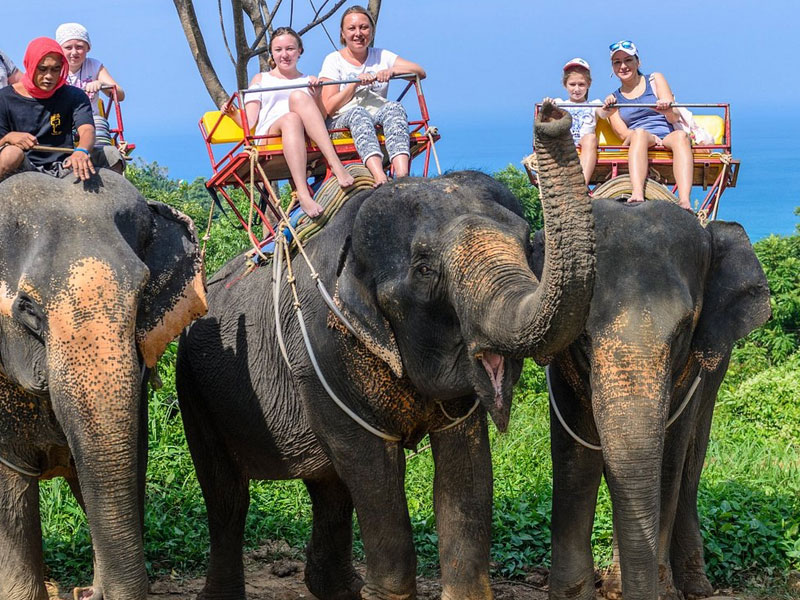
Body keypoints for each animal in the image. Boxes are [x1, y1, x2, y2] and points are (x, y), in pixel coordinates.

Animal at [177, 103, 592, 600]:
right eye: (425, 269)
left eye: (529, 243)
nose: (551, 112)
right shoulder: (322, 351)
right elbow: (371, 467)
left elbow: (465, 470)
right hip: (193, 385)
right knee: (227, 494)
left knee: (328, 487)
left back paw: (335, 590)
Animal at [536, 199, 772, 596]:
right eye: (581, 335)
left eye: (682, 331)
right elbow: (574, 461)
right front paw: (573, 595)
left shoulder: (692, 369)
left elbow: (667, 463)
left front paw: (664, 592)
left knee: (690, 466)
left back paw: (694, 587)